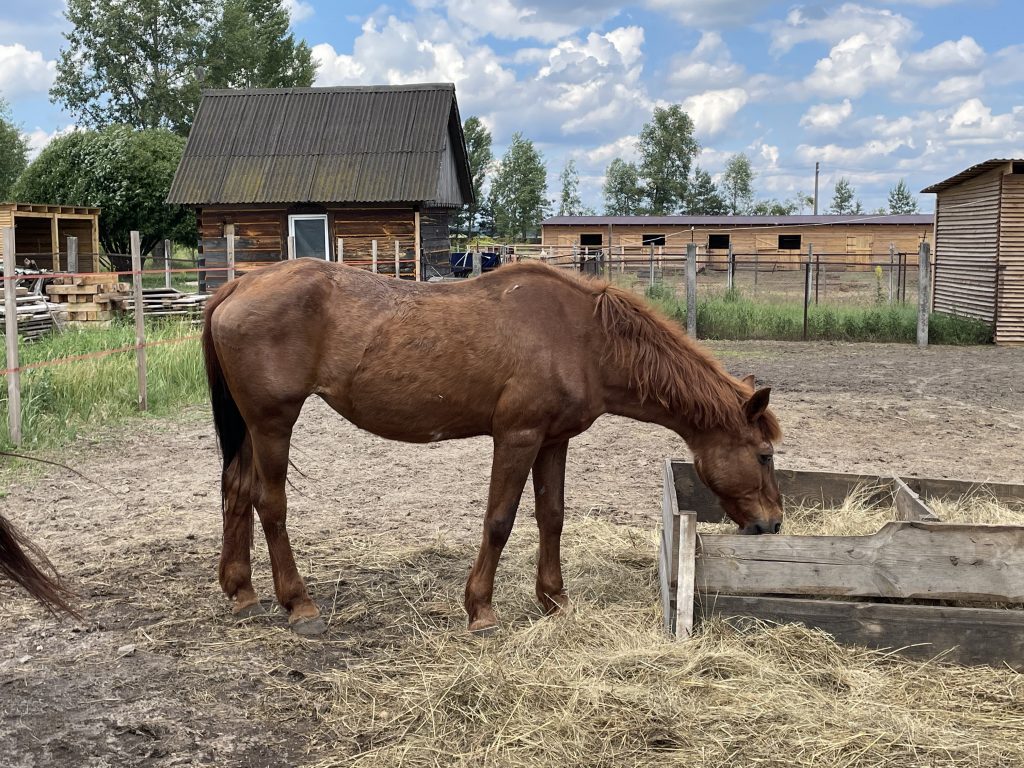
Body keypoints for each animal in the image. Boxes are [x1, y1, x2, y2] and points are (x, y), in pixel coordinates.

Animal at [201, 262, 782, 634]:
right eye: (764, 454)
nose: (772, 524)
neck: (583, 337)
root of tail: (241, 283)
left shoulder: (553, 441)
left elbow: (551, 516)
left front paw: (555, 599)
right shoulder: (517, 438)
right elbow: (500, 520)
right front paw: (480, 608)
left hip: (252, 427)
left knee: (237, 491)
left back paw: (241, 591)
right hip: (274, 422)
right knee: (269, 503)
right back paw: (298, 604)